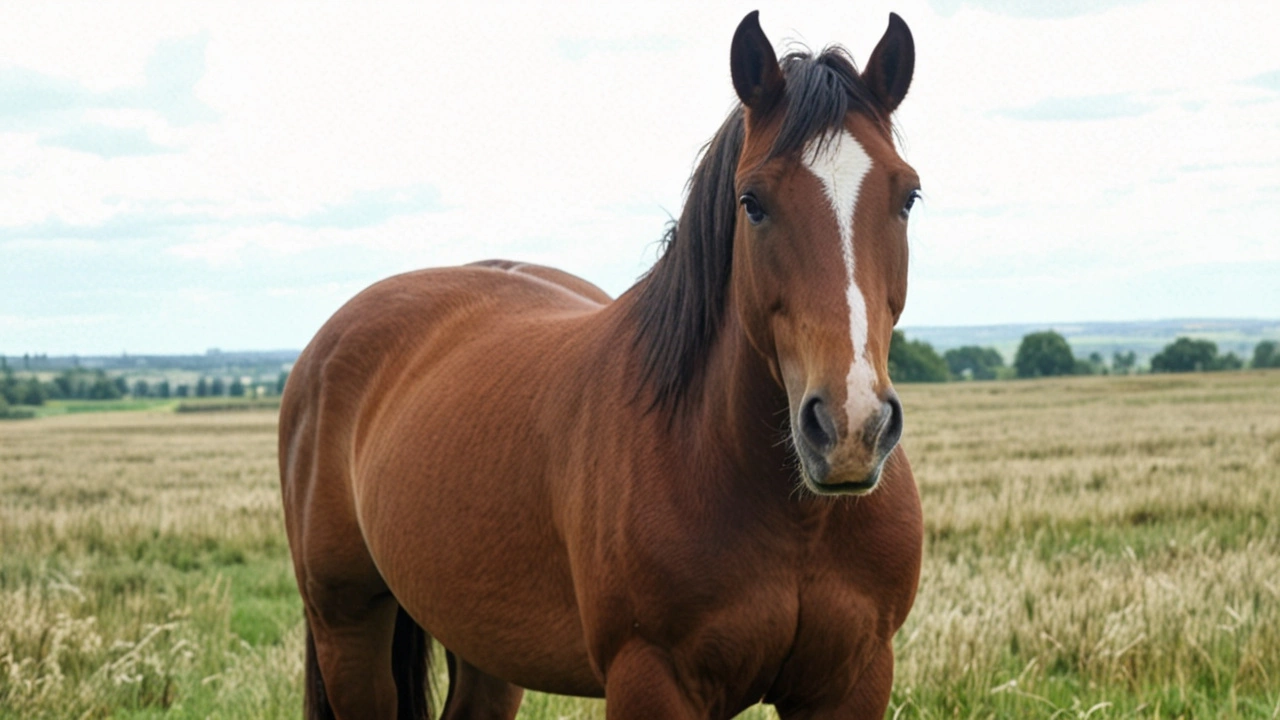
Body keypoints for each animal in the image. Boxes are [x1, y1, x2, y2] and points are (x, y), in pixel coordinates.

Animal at [280, 11, 921, 717]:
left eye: (908, 196)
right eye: (752, 201)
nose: (850, 428)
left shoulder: (853, 679)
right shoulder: (651, 677)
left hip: (486, 649)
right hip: (347, 625)